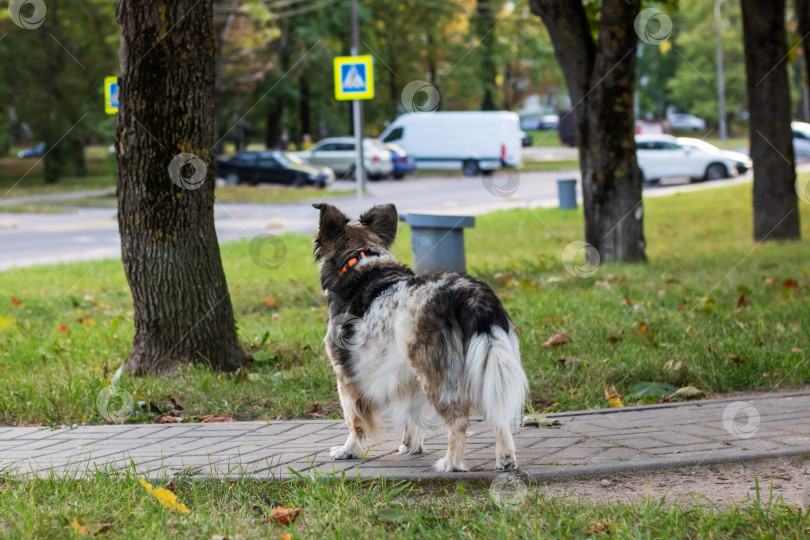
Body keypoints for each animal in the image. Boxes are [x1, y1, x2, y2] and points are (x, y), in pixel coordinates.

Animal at [312, 202, 528, 472]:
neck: (361, 257)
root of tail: (471, 296)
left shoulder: (346, 376)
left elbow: (354, 419)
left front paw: (348, 450)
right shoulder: (403, 374)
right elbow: (409, 414)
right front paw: (411, 445)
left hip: (437, 376)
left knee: (458, 420)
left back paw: (450, 463)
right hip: (486, 368)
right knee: (498, 412)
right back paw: (505, 458)